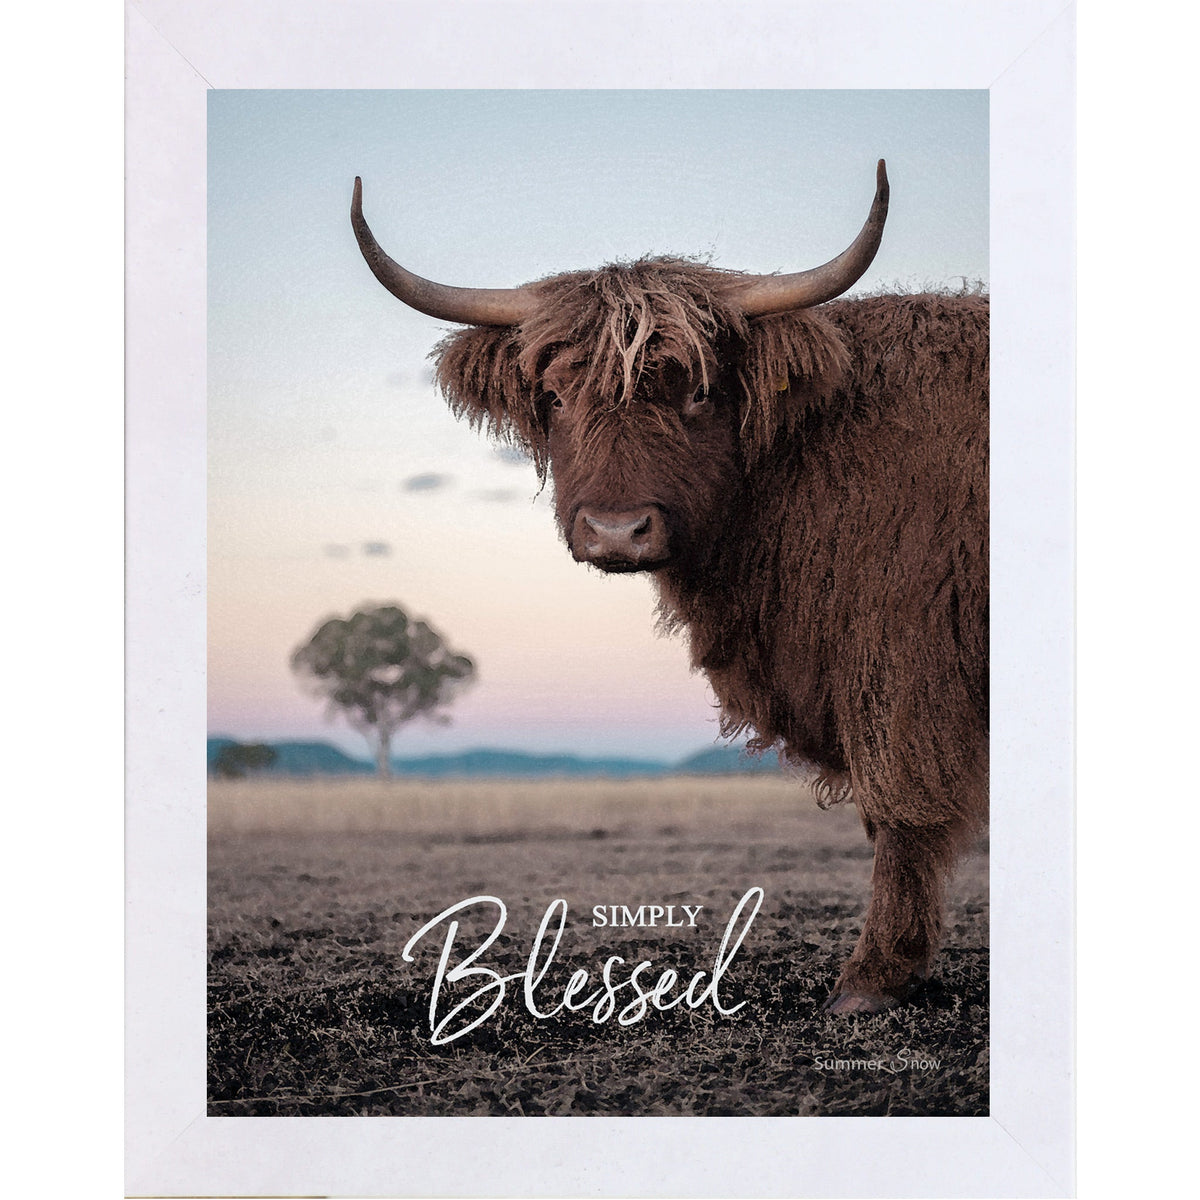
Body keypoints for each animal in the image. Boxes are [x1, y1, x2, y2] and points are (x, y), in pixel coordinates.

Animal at [350, 162, 988, 1014]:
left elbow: (898, 809)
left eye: (697, 392)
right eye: (556, 398)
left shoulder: (902, 658)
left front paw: (873, 976)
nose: (618, 531)